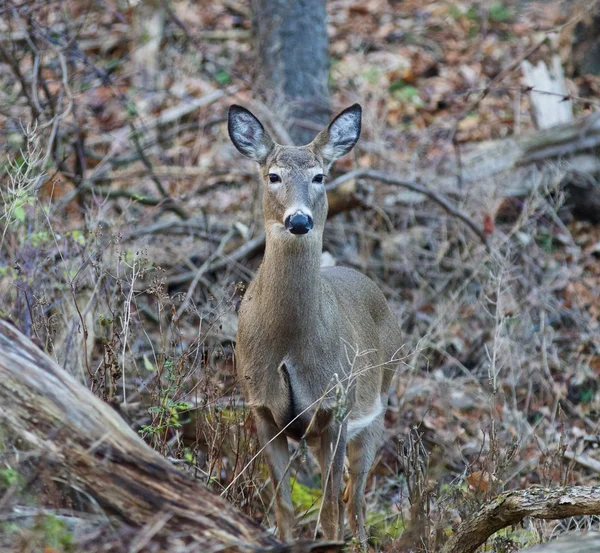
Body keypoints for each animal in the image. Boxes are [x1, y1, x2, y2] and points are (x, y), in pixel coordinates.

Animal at [229, 102, 404, 544]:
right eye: (273, 175)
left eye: (320, 176)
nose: (299, 220)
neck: (289, 343)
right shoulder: (261, 407)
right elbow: (284, 508)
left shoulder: (336, 407)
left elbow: (329, 513)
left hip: (376, 403)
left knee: (355, 499)